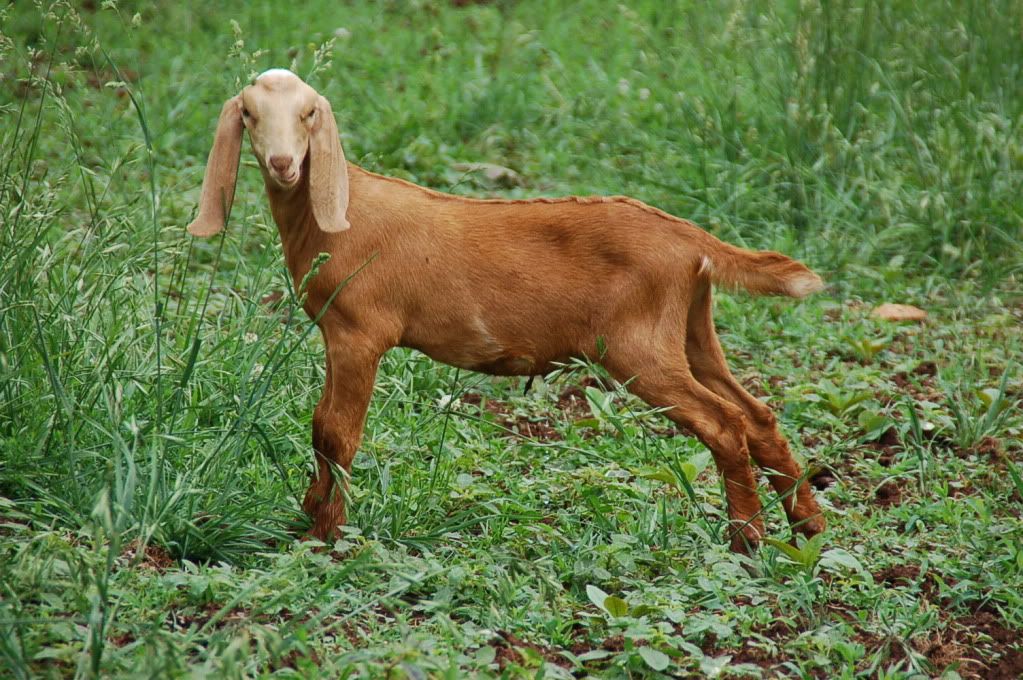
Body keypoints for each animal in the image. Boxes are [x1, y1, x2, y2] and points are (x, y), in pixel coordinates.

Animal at [187, 69, 825, 552]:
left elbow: (335, 431)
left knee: (724, 422)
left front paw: (321, 534)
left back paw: (748, 539)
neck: (339, 214)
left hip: (638, 347)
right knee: (758, 414)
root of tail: (693, 241)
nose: (283, 164)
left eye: (309, 115)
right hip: (692, 329)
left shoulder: (358, 333)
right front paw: (308, 514)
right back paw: (807, 527)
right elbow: (324, 428)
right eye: (249, 115)